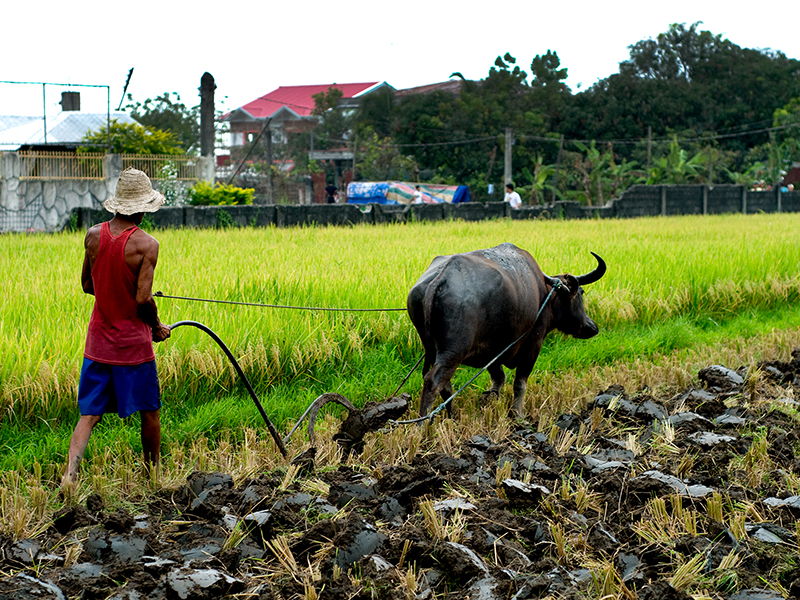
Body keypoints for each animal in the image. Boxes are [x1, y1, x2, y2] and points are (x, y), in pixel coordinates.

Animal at [406, 243, 608, 418]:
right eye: (581, 293)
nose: (592, 326)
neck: (544, 294)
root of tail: (441, 278)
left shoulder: (491, 350)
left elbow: (499, 377)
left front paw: (490, 399)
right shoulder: (533, 344)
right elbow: (520, 382)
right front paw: (517, 414)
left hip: (432, 349)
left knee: (443, 384)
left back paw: (452, 416)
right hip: (453, 351)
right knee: (434, 382)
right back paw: (423, 425)